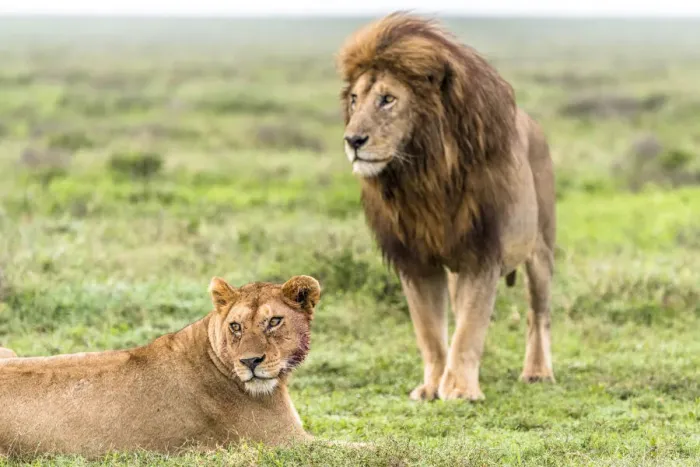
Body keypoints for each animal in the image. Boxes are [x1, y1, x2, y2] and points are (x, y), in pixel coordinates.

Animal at [336, 12, 556, 401]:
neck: (423, 178)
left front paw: (460, 390)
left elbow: (469, 329)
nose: (353, 140)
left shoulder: (483, 254)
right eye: (354, 99)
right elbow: (430, 332)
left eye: (387, 99)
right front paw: (432, 385)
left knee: (538, 314)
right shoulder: (416, 261)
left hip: (540, 249)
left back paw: (538, 371)